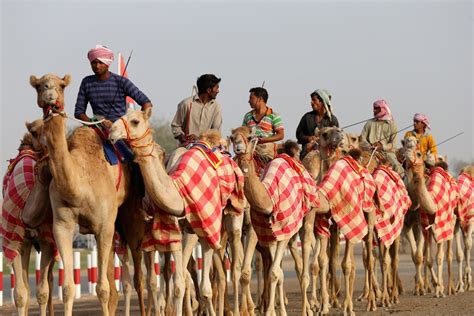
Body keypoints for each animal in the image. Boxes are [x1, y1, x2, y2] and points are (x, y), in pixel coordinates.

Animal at [1, 119, 56, 316]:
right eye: (34, 131)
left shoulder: (48, 240)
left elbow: (43, 292)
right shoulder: (13, 239)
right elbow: (20, 293)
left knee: (50, 280)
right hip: (25, 242)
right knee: (25, 285)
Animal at [28, 74, 124, 316]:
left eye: (61, 86)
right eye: (39, 85)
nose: (50, 96)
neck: (80, 187)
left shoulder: (104, 225)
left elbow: (102, 289)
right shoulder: (62, 225)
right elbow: (68, 288)